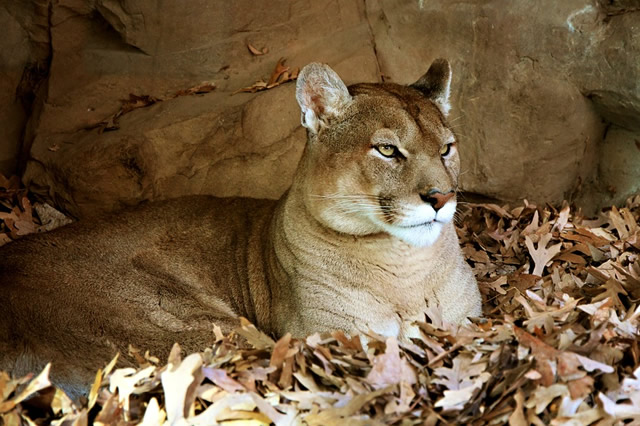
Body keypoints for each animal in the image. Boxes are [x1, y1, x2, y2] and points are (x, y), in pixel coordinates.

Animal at [0, 59, 480, 396]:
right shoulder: (330, 338)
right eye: (387, 150)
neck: (404, 268)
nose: (442, 197)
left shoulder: (469, 325)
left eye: (446, 149)